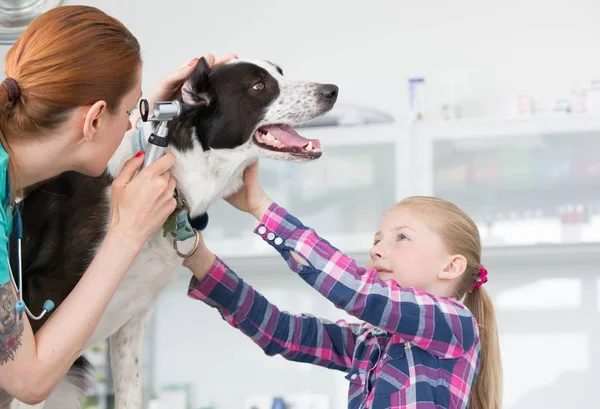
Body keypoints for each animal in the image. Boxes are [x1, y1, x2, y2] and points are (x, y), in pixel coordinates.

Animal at [7, 57, 338, 408]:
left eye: (280, 73)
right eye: (258, 85)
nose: (332, 90)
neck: (176, 175)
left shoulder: (132, 321)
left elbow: (130, 394)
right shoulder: (43, 309)